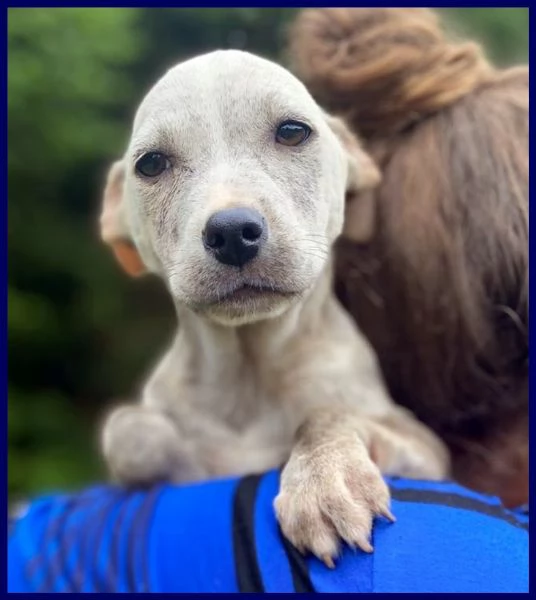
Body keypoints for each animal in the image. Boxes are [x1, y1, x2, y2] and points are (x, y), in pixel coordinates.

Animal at [99, 49, 448, 564]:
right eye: (151, 164)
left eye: (292, 132)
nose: (231, 233)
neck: (252, 371)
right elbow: (127, 430)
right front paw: (189, 459)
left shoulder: (425, 445)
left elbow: (327, 413)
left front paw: (325, 479)